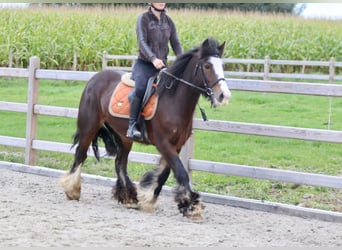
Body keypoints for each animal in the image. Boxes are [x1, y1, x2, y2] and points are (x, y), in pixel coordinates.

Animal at [60, 37, 232, 221]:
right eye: (207, 66)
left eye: (222, 65)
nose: (224, 96)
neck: (172, 101)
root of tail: (95, 78)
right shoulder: (164, 144)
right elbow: (181, 173)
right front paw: (192, 206)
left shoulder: (176, 146)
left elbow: (164, 174)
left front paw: (150, 199)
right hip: (89, 127)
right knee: (81, 155)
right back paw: (72, 190)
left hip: (124, 137)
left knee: (120, 163)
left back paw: (129, 197)